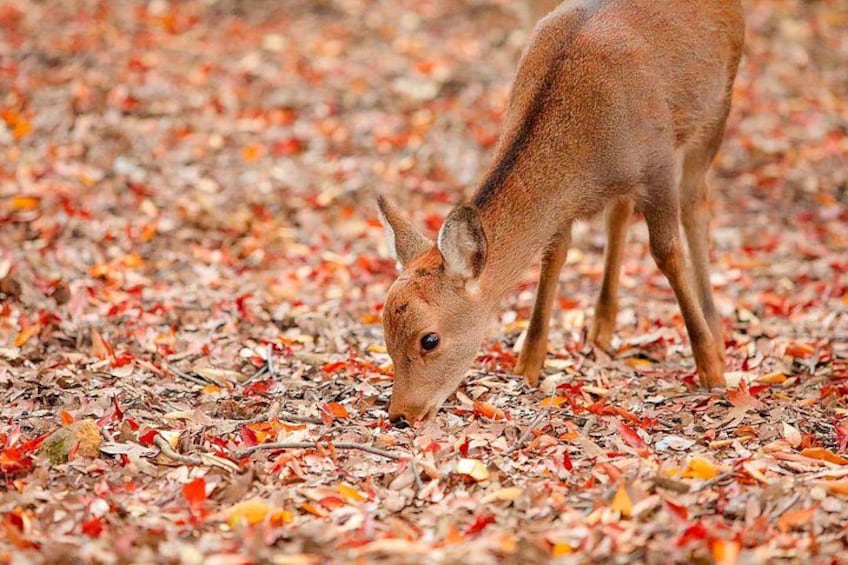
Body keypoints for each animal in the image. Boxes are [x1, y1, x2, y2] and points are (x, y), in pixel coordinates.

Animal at [378, 0, 744, 427]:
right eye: (385, 335)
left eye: (429, 339)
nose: (401, 414)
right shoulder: (566, 206)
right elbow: (553, 257)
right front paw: (527, 366)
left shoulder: (659, 164)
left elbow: (667, 252)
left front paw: (712, 369)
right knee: (620, 211)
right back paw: (601, 327)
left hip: (719, 107)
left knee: (696, 203)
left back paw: (716, 334)